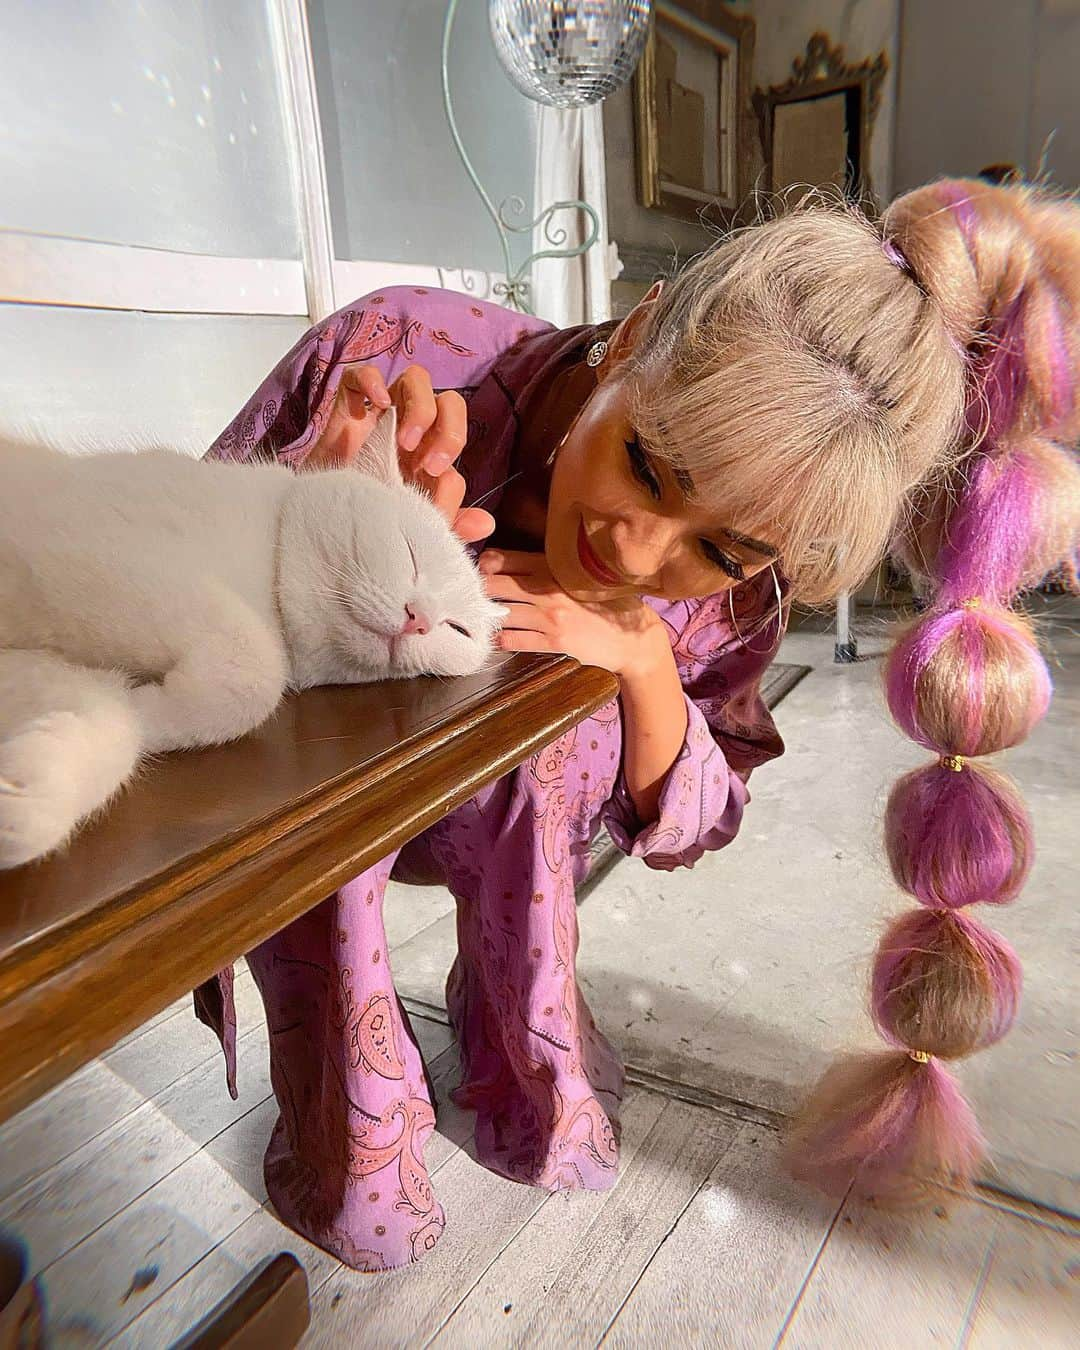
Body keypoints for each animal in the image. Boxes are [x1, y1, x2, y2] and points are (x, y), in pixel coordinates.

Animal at [0, 410, 502, 869]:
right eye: (410, 551)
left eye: (457, 628)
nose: (421, 620)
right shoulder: (96, 553)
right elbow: (257, 668)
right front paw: (151, 709)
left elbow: (112, 720)